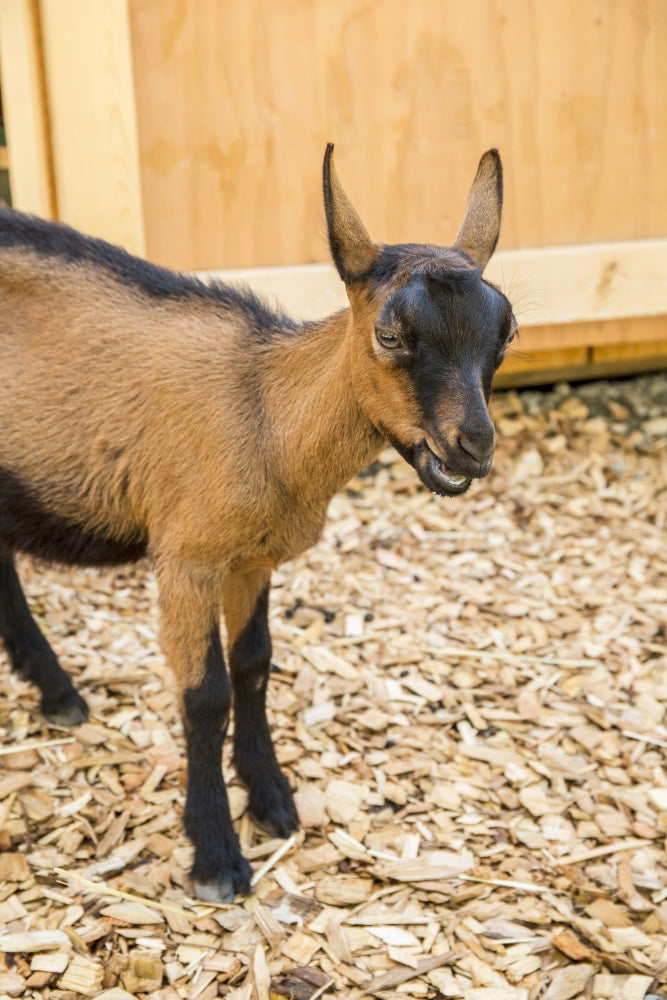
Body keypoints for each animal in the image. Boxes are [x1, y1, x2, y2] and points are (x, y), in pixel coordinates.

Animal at [0, 146, 516, 902]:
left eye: (506, 335)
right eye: (389, 334)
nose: (471, 448)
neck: (265, 413)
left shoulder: (252, 557)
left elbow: (253, 665)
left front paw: (271, 799)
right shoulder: (187, 556)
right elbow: (204, 694)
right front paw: (216, 855)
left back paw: (57, 691)